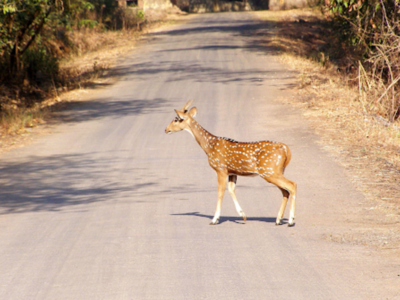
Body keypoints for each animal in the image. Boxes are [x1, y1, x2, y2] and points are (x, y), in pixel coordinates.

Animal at [165, 99, 296, 226]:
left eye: (176, 119)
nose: (166, 129)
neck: (209, 147)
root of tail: (286, 149)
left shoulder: (220, 168)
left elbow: (220, 191)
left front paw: (214, 219)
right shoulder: (232, 172)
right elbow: (231, 190)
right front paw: (243, 215)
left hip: (269, 171)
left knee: (292, 185)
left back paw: (290, 221)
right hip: (275, 171)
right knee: (285, 192)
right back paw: (278, 220)